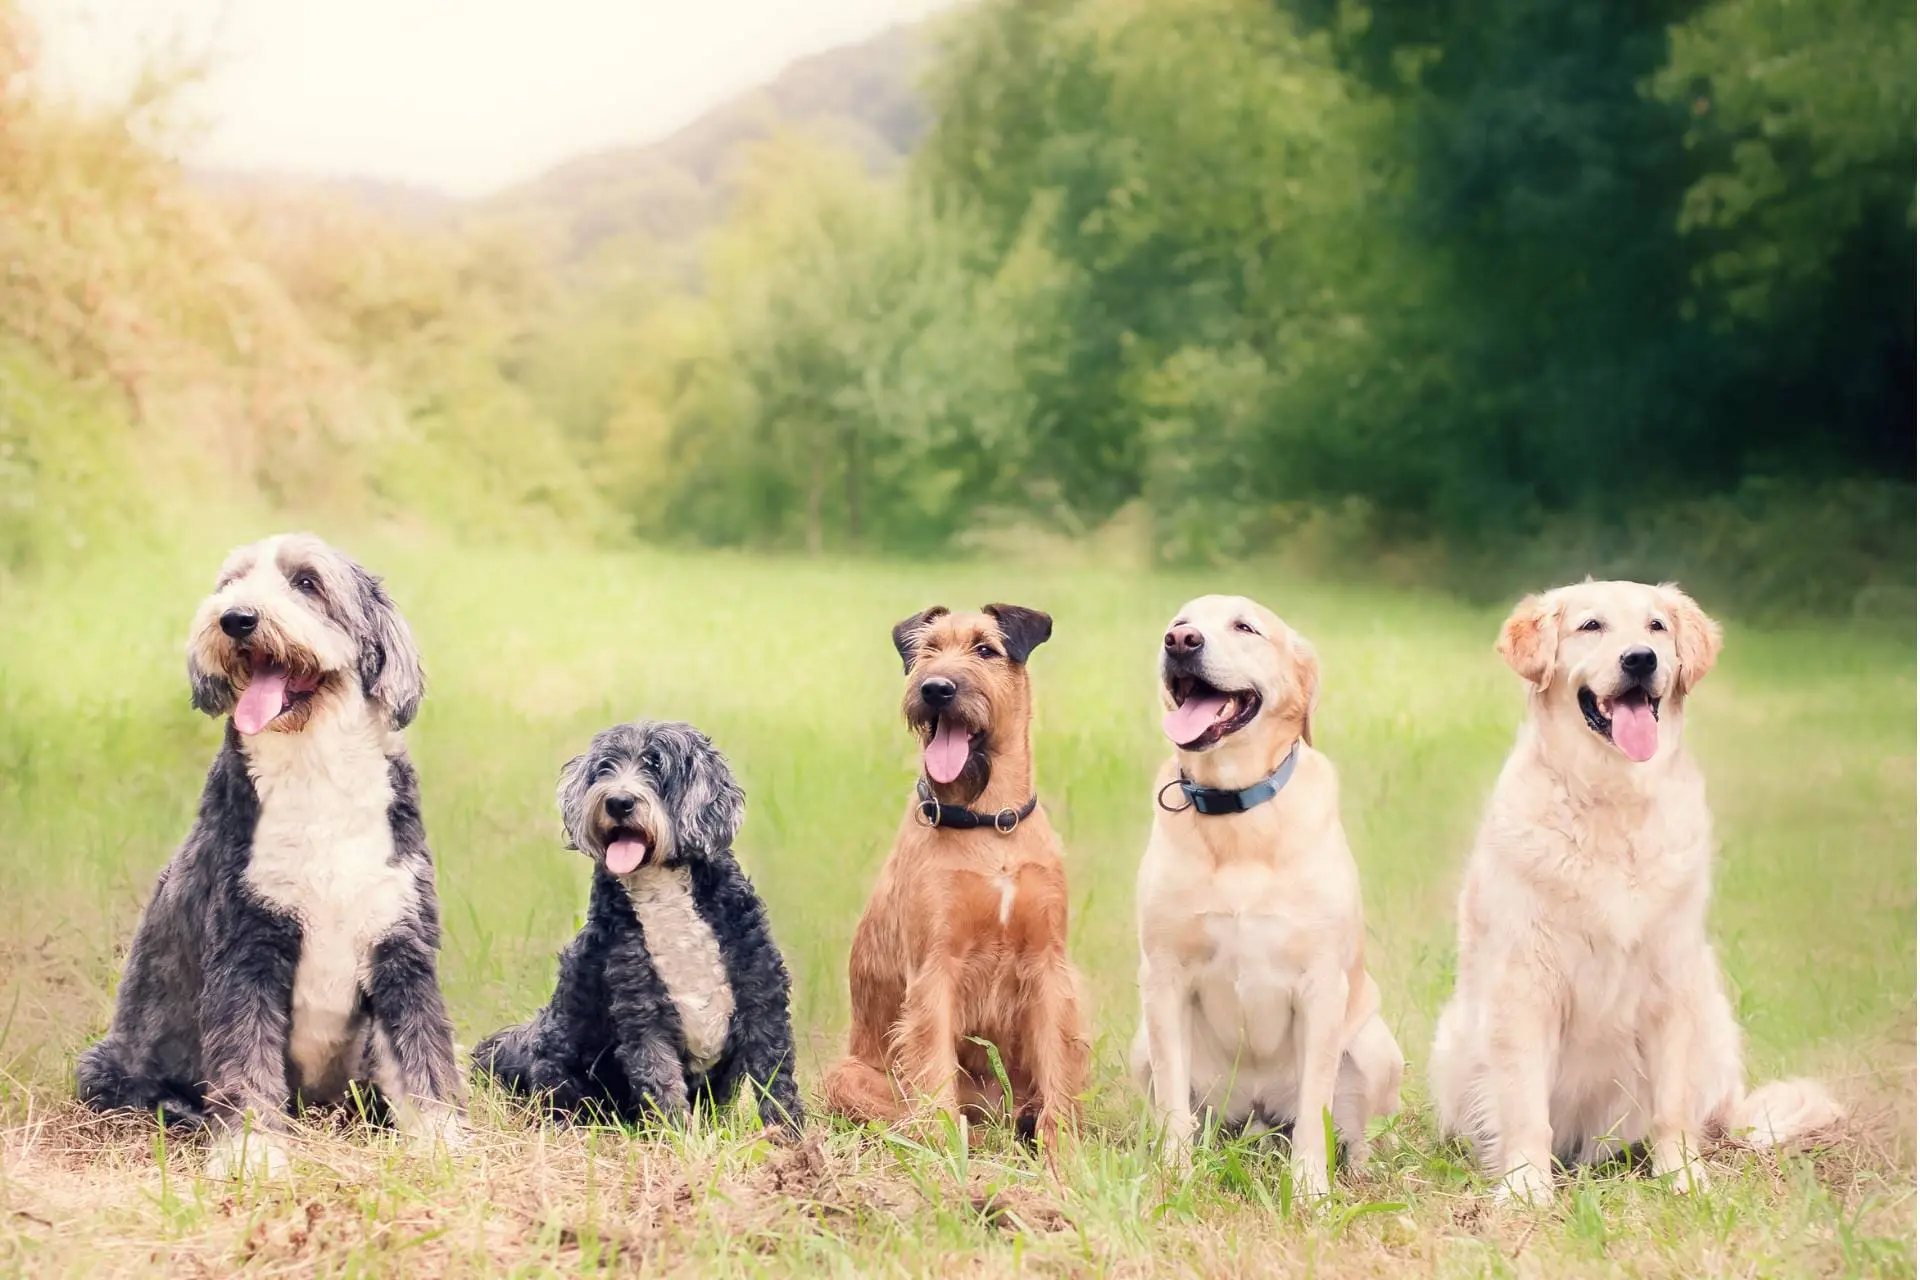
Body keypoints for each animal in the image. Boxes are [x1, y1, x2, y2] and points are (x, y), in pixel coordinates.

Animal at [75, 533, 468, 1182]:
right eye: (231, 583)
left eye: (307, 582)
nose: (236, 618)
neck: (316, 772)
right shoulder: (246, 946)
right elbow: (246, 1062)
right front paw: (251, 1155)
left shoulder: (400, 945)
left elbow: (424, 1053)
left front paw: (441, 1143)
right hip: (106, 1068)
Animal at [480, 725, 810, 1136]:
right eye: (604, 768)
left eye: (656, 765)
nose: (618, 801)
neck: (662, 888)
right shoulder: (642, 1014)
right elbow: (661, 1085)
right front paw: (680, 1141)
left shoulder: (762, 998)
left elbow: (776, 1080)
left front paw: (791, 1137)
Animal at [825, 606, 1098, 1143]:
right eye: (928, 650)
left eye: (985, 649)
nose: (935, 688)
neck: (989, 823)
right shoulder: (936, 969)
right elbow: (934, 1078)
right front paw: (944, 1151)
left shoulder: (1048, 965)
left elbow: (1058, 1076)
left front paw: (1063, 1152)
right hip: (845, 1075)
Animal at [1128, 594, 1405, 1197]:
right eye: (1178, 622)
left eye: (1245, 627)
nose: (1180, 642)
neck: (1237, 811)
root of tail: (1256, 1115)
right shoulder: (1163, 977)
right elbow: (1173, 1106)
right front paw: (1173, 1178)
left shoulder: (1322, 984)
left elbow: (1315, 1109)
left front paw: (1309, 1192)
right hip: (1144, 1050)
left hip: (1375, 1046)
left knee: (1359, 1129)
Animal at [1436, 579, 1835, 1205]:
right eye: (1591, 626)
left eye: (1656, 628)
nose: (1640, 660)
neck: (1611, 796)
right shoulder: (1525, 983)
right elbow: (1524, 1106)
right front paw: (1526, 1187)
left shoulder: (1671, 979)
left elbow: (1673, 1107)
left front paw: (1684, 1178)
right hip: (1454, 1038)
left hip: (1713, 1019)